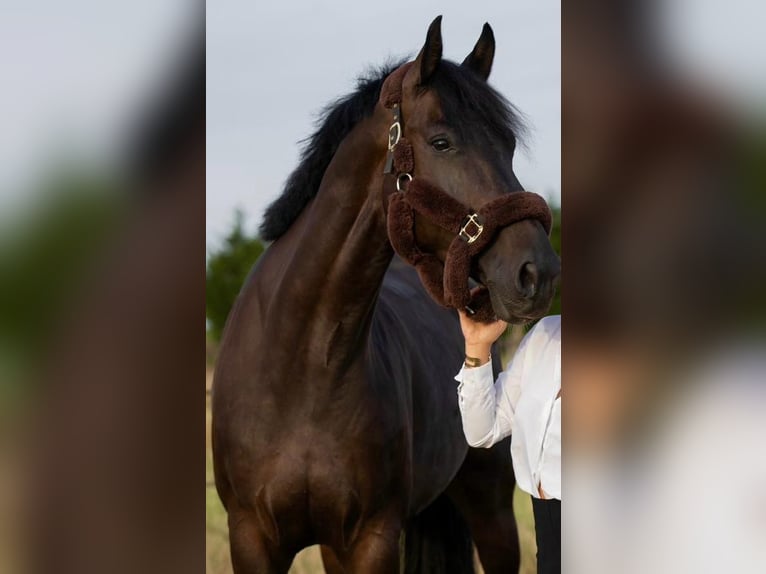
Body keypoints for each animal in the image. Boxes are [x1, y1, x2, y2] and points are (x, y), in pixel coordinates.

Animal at [212, 16, 560, 573]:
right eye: (441, 142)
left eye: (508, 144)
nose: (538, 272)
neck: (303, 370)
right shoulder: (253, 538)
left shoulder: (370, 538)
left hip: (492, 512)